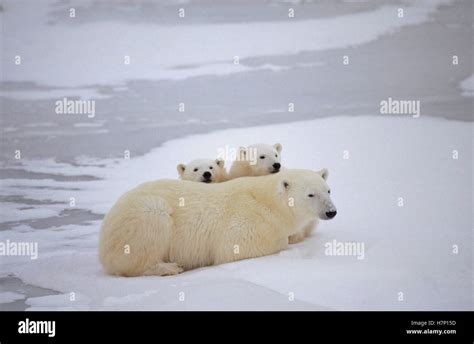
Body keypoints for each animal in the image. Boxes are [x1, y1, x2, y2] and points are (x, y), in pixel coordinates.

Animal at [100, 168, 336, 276]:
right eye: (311, 194)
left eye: (328, 190)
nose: (331, 212)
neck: (267, 200)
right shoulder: (245, 222)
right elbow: (236, 248)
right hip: (144, 215)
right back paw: (169, 267)